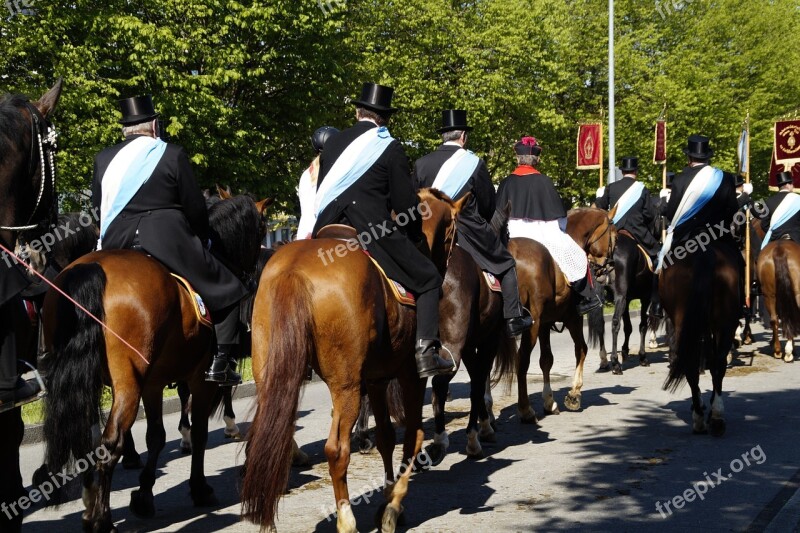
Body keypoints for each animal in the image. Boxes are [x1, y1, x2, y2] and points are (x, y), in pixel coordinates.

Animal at [40, 193, 270, 528]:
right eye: (262, 229)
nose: (253, 278)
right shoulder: (200, 380)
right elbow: (199, 432)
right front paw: (199, 488)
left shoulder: (154, 383)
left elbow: (156, 436)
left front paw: (144, 495)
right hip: (127, 383)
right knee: (110, 444)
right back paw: (101, 518)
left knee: (86, 442)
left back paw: (90, 502)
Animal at [241, 189, 466, 532]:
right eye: (453, 232)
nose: (444, 269)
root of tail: (294, 269)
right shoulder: (410, 376)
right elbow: (413, 437)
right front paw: (394, 507)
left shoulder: (376, 379)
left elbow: (386, 437)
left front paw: (388, 497)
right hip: (345, 386)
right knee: (336, 450)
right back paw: (346, 519)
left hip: (272, 376)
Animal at [494, 208, 620, 424]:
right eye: (613, 237)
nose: (608, 270)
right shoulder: (572, 318)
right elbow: (581, 349)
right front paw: (574, 393)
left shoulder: (545, 323)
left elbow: (546, 360)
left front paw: (549, 401)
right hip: (531, 325)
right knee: (522, 360)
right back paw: (525, 410)